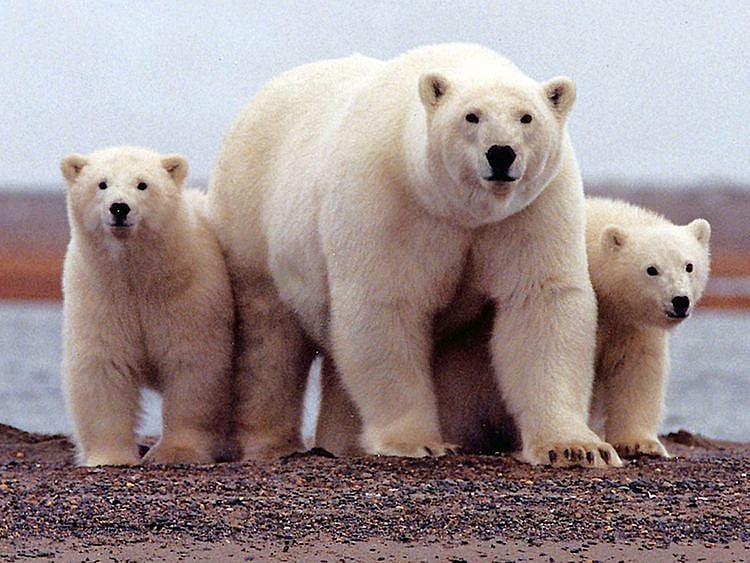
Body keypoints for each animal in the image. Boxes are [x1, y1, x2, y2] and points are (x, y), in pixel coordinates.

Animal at [60, 146, 234, 466]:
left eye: (142, 184)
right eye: (102, 184)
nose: (119, 208)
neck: (139, 275)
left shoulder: (188, 295)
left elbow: (193, 365)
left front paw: (176, 452)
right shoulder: (100, 295)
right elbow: (104, 366)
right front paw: (110, 457)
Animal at [208, 43, 620, 467]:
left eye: (526, 117)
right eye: (471, 116)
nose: (501, 154)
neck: (461, 210)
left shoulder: (531, 209)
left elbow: (540, 301)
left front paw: (576, 447)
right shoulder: (391, 200)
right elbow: (386, 305)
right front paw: (417, 441)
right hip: (252, 221)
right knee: (269, 341)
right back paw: (271, 443)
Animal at [316, 198, 712, 461]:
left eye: (689, 265)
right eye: (651, 269)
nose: (679, 301)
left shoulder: (630, 324)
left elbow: (637, 370)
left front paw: (640, 443)